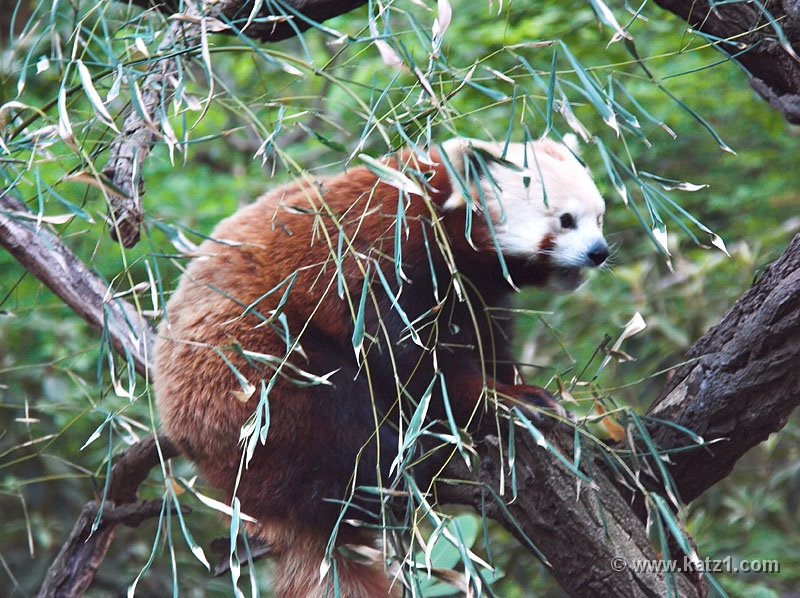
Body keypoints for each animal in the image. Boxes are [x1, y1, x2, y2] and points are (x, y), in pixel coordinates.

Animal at [154, 136, 608, 597]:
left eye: (599, 217)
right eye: (566, 220)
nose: (599, 253)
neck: (440, 214)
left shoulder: (473, 290)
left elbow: (485, 341)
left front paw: (520, 388)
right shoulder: (384, 257)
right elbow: (413, 363)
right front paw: (512, 401)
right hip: (253, 372)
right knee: (330, 416)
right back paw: (392, 471)